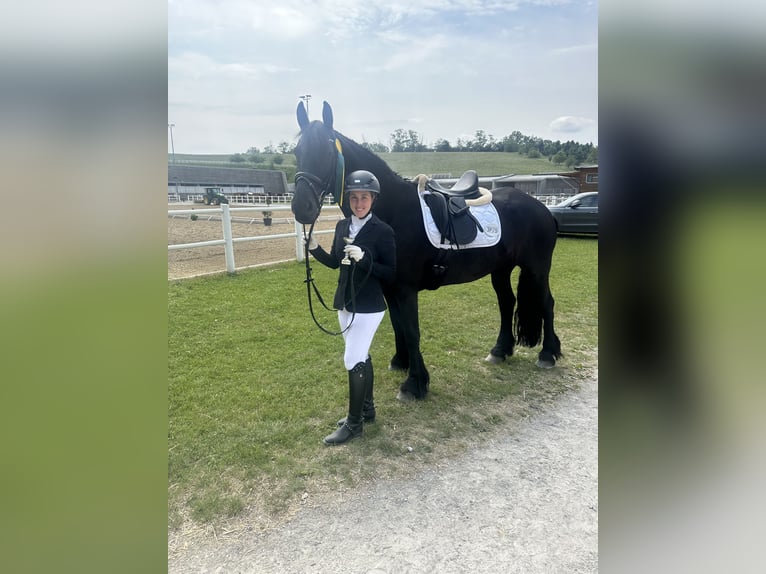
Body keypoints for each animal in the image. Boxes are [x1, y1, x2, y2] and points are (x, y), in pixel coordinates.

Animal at [292, 100, 561, 401]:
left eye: (326, 151)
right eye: (297, 152)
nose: (301, 207)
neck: (393, 209)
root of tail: (541, 208)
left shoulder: (406, 289)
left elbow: (412, 331)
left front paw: (415, 383)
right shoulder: (390, 288)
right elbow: (397, 324)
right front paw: (401, 362)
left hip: (537, 269)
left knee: (546, 303)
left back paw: (548, 354)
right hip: (500, 270)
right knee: (507, 303)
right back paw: (500, 351)